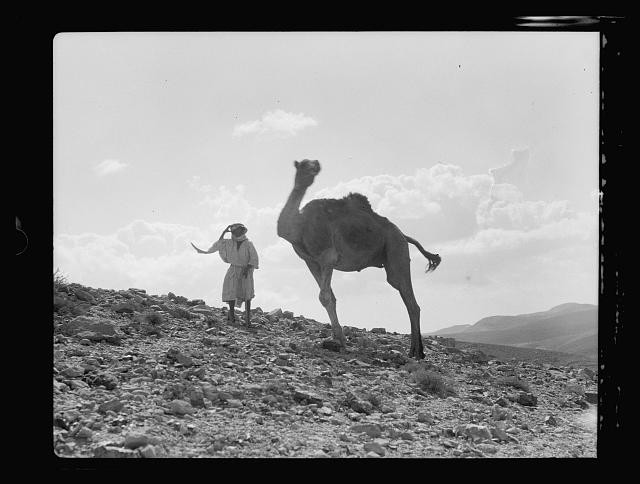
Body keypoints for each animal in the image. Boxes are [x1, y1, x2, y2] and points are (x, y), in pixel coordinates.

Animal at [277, 159, 441, 359]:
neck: (299, 226)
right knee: (408, 300)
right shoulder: (311, 261)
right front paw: (336, 338)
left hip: (396, 249)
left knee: (410, 300)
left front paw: (341, 341)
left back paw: (416, 352)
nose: (315, 165)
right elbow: (331, 297)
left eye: (311, 165)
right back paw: (416, 351)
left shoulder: (327, 256)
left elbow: (324, 297)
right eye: (303, 165)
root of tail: (404, 235)